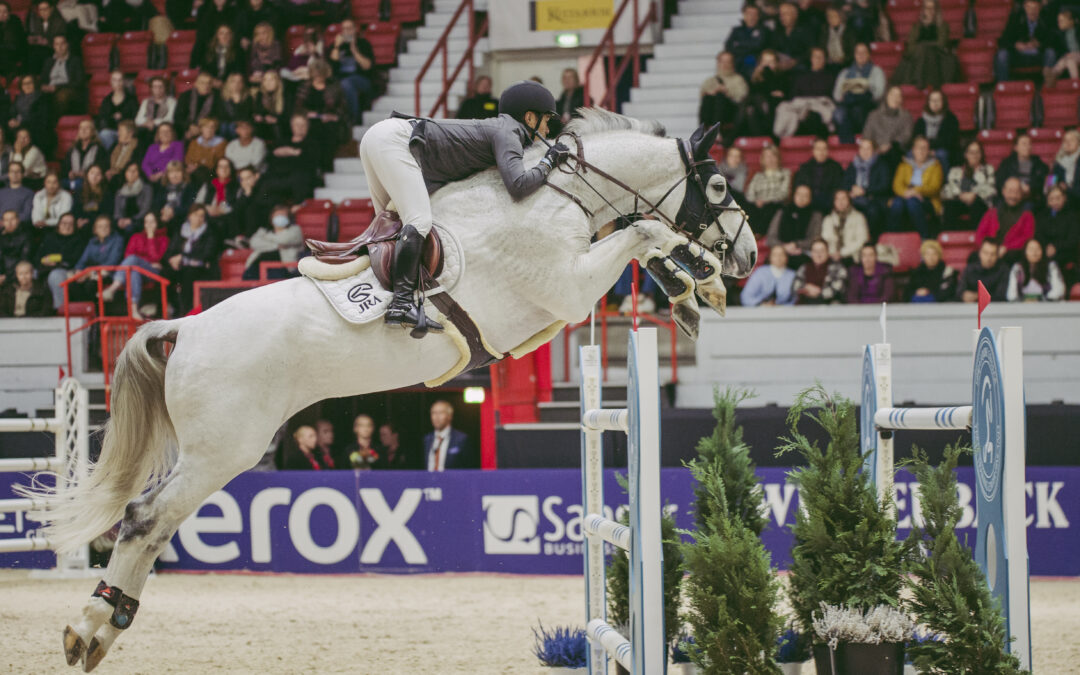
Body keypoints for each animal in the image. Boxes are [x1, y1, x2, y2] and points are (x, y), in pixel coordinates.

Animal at [24, 109, 757, 672]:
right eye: (720, 183)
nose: (750, 255)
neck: (558, 196)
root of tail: (184, 327)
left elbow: (645, 238)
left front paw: (694, 290)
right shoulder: (570, 286)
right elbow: (646, 230)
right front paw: (700, 277)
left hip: (217, 452)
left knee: (153, 527)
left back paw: (106, 624)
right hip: (222, 451)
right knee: (145, 518)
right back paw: (90, 626)